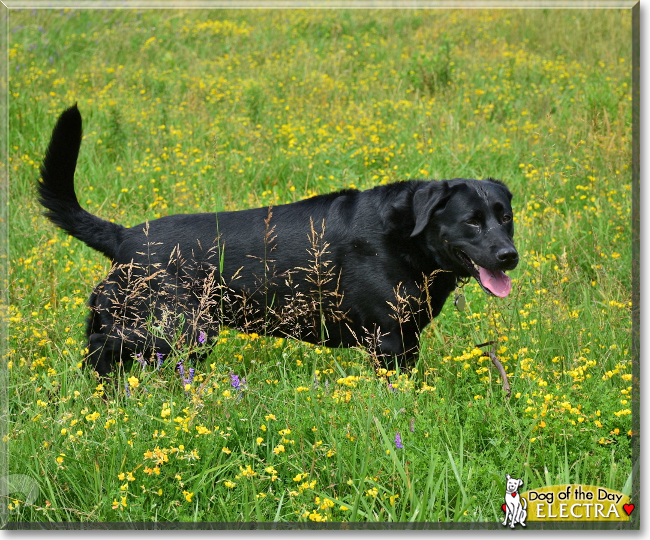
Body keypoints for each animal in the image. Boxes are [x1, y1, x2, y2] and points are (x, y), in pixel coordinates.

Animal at [39, 105, 516, 376]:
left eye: (505, 218)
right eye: (472, 222)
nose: (509, 256)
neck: (404, 240)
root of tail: (123, 236)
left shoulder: (408, 339)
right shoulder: (389, 342)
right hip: (173, 329)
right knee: (102, 348)